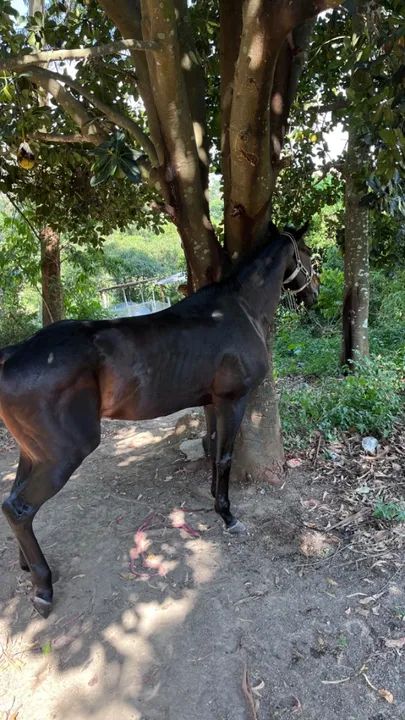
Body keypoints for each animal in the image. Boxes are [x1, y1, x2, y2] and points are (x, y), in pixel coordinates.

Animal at [0, 221, 318, 617]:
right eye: (307, 252)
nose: (315, 294)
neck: (238, 309)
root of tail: (12, 354)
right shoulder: (233, 401)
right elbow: (225, 456)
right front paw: (228, 516)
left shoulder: (211, 403)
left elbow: (212, 447)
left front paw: (214, 499)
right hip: (62, 456)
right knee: (19, 508)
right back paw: (42, 588)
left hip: (32, 453)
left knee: (13, 501)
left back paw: (26, 565)